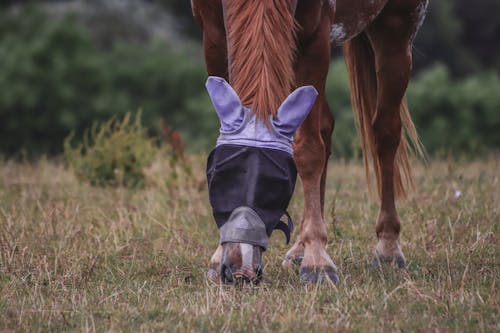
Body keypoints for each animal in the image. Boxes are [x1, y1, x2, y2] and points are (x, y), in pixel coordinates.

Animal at [191, 0, 426, 284]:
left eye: (277, 189)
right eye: (218, 180)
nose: (239, 270)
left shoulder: (314, 40)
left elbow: (309, 150)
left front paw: (317, 261)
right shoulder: (213, 35)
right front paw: (217, 256)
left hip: (399, 25)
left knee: (385, 132)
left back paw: (388, 249)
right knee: (325, 126)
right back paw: (299, 251)